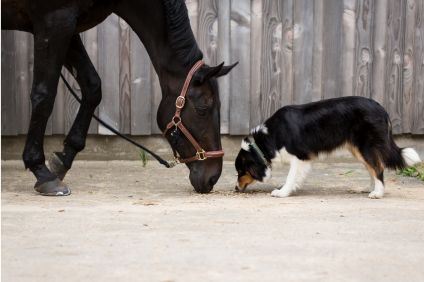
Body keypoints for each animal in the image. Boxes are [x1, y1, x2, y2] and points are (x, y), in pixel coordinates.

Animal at [1, 0, 237, 196]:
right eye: (203, 109)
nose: (212, 177)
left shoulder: (68, 25)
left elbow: (92, 87)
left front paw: (63, 159)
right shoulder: (54, 22)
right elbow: (44, 96)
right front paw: (41, 172)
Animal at [235, 97, 420, 198]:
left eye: (241, 171)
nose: (236, 188)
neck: (268, 138)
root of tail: (383, 110)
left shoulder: (299, 157)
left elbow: (291, 177)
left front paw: (282, 192)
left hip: (365, 146)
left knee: (378, 167)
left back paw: (377, 193)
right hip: (358, 150)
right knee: (373, 168)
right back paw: (371, 188)